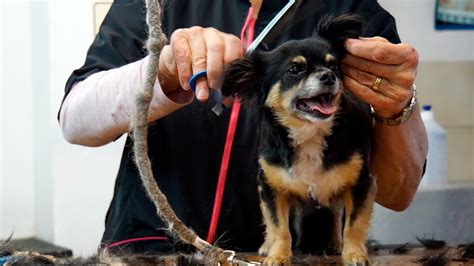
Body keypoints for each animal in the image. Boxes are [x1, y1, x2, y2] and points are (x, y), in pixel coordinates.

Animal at [222, 15, 378, 264]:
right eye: (295, 69)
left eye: (334, 66)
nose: (328, 76)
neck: (309, 133)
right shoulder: (271, 188)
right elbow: (279, 228)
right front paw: (278, 255)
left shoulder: (361, 184)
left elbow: (353, 225)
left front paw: (354, 254)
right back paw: (267, 246)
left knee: (336, 212)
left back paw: (336, 243)